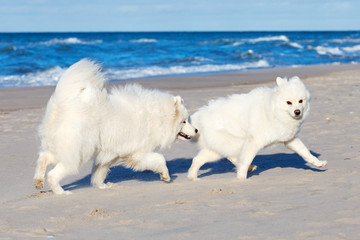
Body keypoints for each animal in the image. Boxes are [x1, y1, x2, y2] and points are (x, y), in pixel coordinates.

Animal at [33, 59, 197, 194]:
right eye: (184, 121)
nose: (196, 130)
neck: (157, 117)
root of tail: (63, 105)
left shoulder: (110, 153)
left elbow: (99, 172)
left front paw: (102, 186)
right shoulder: (137, 152)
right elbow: (159, 158)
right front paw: (165, 175)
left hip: (64, 146)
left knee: (44, 157)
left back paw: (38, 180)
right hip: (80, 151)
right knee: (53, 174)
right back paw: (61, 192)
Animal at [188, 76, 326, 180]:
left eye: (301, 101)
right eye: (289, 103)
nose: (297, 112)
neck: (274, 111)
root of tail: (198, 117)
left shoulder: (290, 139)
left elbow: (305, 152)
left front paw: (318, 163)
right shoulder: (254, 141)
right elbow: (246, 160)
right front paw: (241, 177)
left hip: (216, 149)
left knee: (197, 160)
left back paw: (192, 177)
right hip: (234, 143)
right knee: (232, 157)